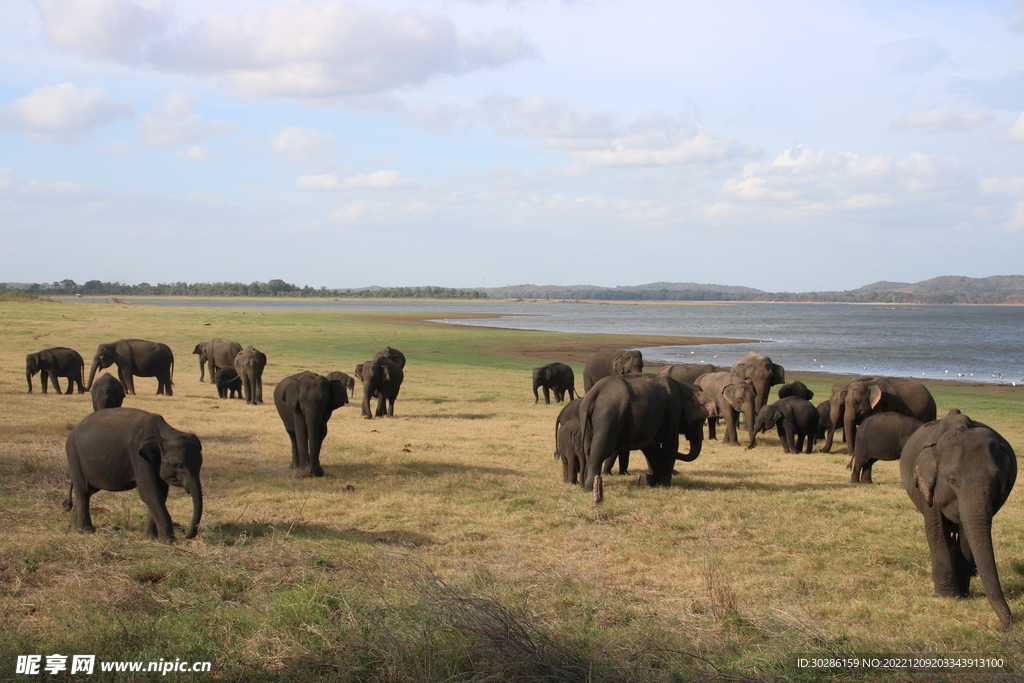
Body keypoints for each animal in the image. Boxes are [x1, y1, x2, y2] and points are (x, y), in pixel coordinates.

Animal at [62, 405, 202, 544]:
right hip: (74, 455)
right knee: (83, 491)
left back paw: (73, 527)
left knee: (88, 492)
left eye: (200, 464)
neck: (165, 432)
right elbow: (149, 491)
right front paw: (168, 542)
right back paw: (86, 531)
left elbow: (160, 492)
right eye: (180, 466)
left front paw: (150, 539)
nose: (187, 535)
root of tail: (75, 429)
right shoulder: (138, 455)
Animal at [905, 411, 1015, 630]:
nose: (1004, 625)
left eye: (996, 481)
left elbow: (967, 535)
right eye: (952, 481)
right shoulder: (929, 486)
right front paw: (947, 596)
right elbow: (935, 530)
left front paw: (963, 593)